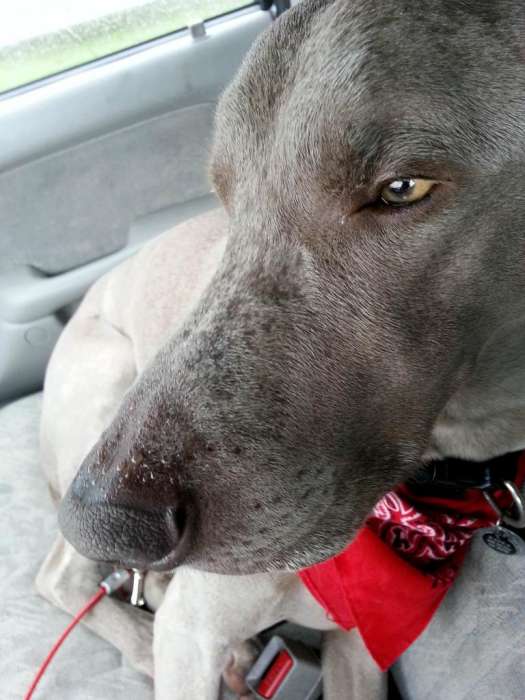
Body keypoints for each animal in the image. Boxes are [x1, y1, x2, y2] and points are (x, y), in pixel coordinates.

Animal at [47, 0, 520, 696]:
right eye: (226, 198)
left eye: (403, 187)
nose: (104, 523)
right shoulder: (189, 633)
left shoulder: (359, 651)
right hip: (105, 383)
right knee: (58, 574)